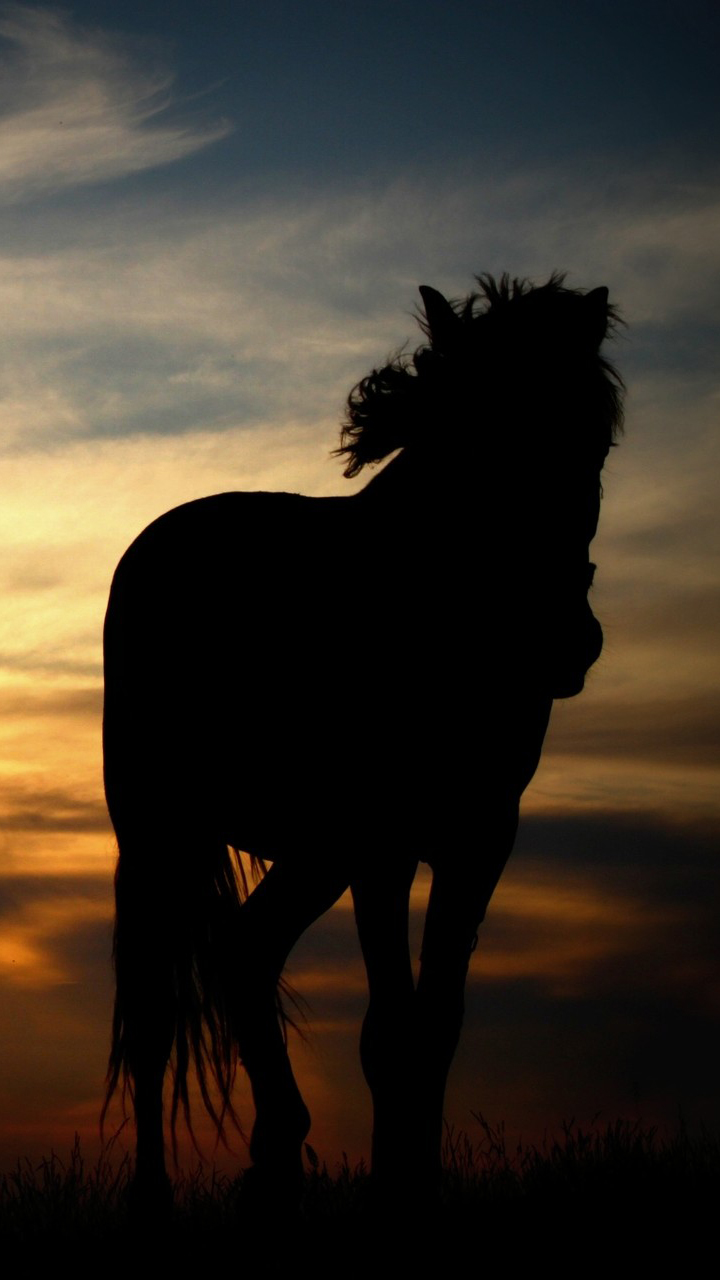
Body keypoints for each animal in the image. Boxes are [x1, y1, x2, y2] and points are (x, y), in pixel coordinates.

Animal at [102, 273, 623, 1212]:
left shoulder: (479, 838)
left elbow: (436, 1024)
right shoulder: (383, 844)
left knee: (247, 950)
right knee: (158, 1010)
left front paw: (418, 1178)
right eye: (471, 438)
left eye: (593, 440)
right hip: (161, 833)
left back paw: (277, 1156)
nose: (564, 640)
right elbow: (387, 1030)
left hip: (314, 853)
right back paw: (156, 1195)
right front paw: (392, 1187)